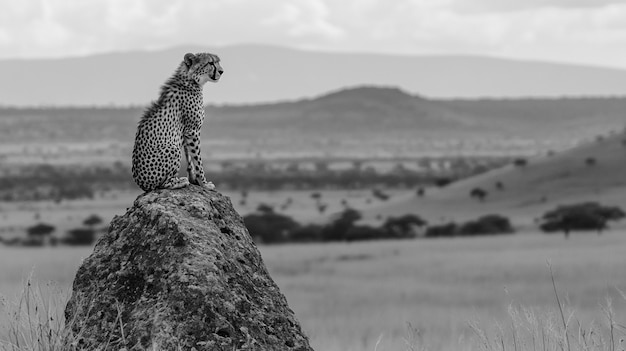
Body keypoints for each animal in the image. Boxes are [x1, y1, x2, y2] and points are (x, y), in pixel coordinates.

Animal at [130, 52, 223, 192]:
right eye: (210, 63)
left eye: (218, 62)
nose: (222, 71)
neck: (191, 80)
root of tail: (142, 184)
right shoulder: (193, 130)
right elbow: (198, 160)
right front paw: (204, 183)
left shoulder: (186, 132)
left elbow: (190, 158)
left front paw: (194, 180)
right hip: (172, 148)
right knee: (161, 185)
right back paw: (179, 182)